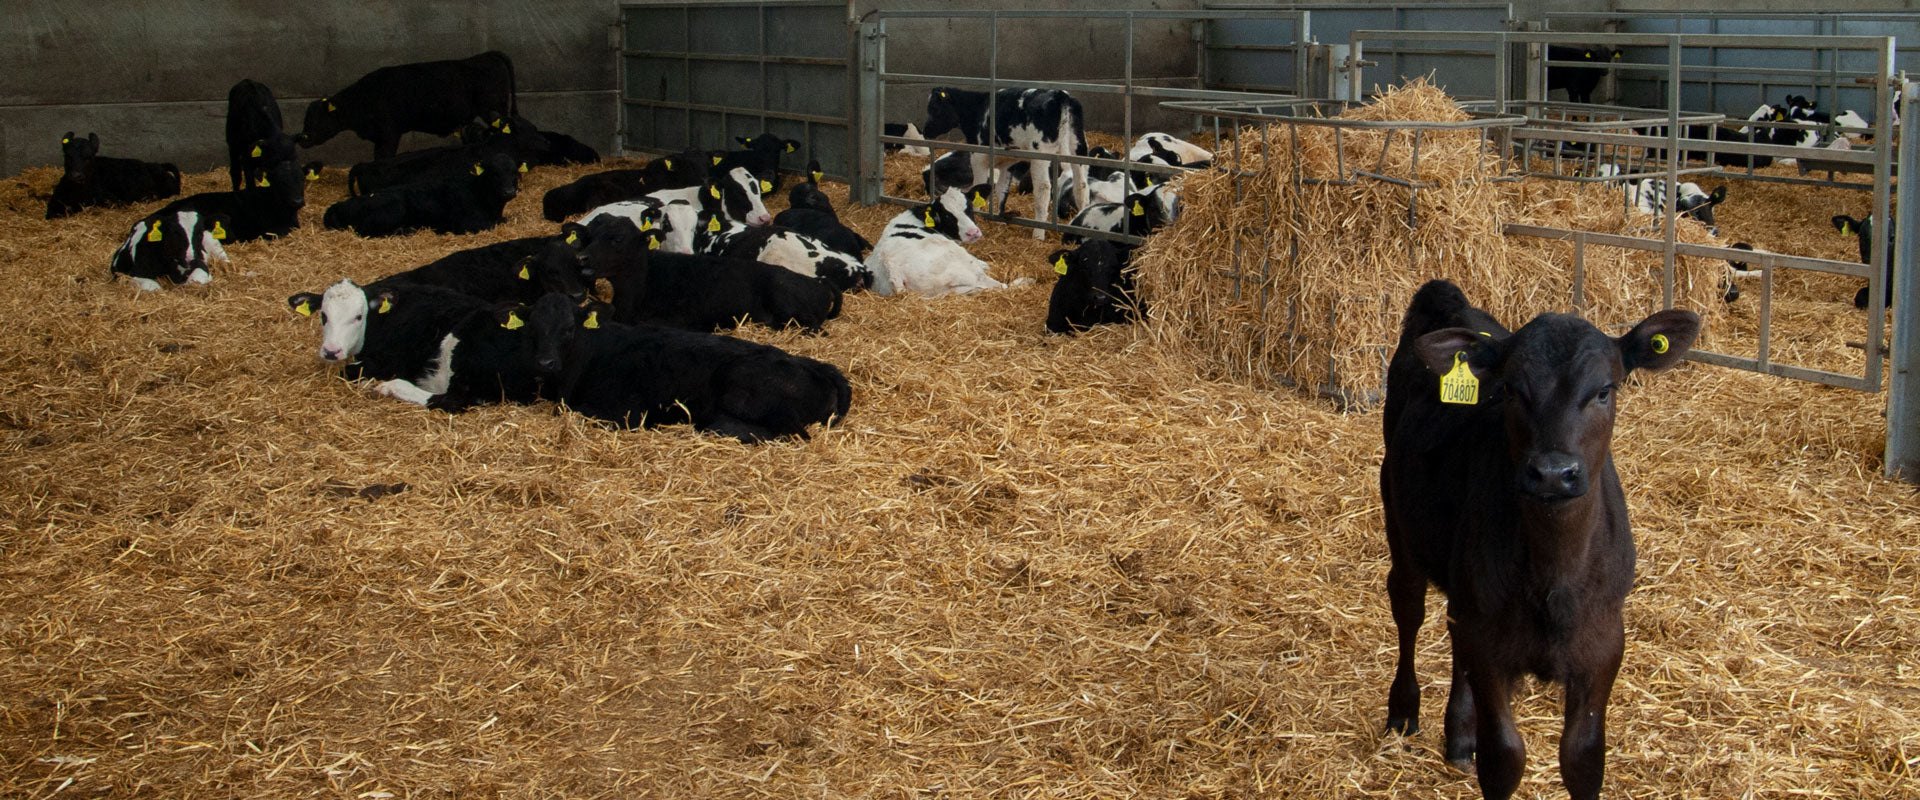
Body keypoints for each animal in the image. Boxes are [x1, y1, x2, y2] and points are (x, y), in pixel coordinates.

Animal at [295, 50, 518, 160]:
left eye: (318, 119)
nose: (302, 138)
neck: (363, 99)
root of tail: (486, 55)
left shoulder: (389, 134)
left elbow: (384, 157)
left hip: (492, 109)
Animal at [921, 87, 1090, 238]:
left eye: (934, 108)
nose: (926, 131)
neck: (977, 108)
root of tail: (1060, 95)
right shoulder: (1008, 163)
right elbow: (1002, 190)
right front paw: (999, 218)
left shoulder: (978, 156)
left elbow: (979, 185)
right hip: (1078, 148)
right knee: (1081, 185)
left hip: (1040, 154)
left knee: (1043, 188)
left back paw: (1038, 234)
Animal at [1382, 278, 1697, 798]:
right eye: (1511, 389)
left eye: (1605, 390)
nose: (1553, 473)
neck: (1556, 575)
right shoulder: (1489, 645)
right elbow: (1504, 757)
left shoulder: (1603, 643)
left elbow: (1584, 758)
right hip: (1400, 525)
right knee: (1409, 609)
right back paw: (1403, 711)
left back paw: (1459, 734)